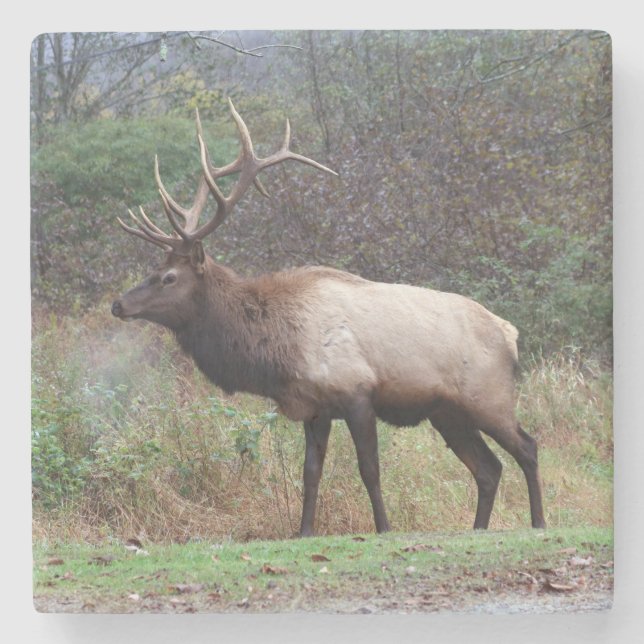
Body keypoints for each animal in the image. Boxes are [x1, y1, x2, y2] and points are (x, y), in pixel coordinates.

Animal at [111, 99, 546, 536]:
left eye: (168, 277)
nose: (118, 304)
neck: (277, 351)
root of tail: (510, 334)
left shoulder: (356, 392)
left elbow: (369, 469)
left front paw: (383, 528)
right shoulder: (315, 407)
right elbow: (310, 472)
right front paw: (303, 531)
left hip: (488, 396)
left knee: (527, 447)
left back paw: (539, 521)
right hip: (448, 414)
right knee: (488, 468)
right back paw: (478, 529)